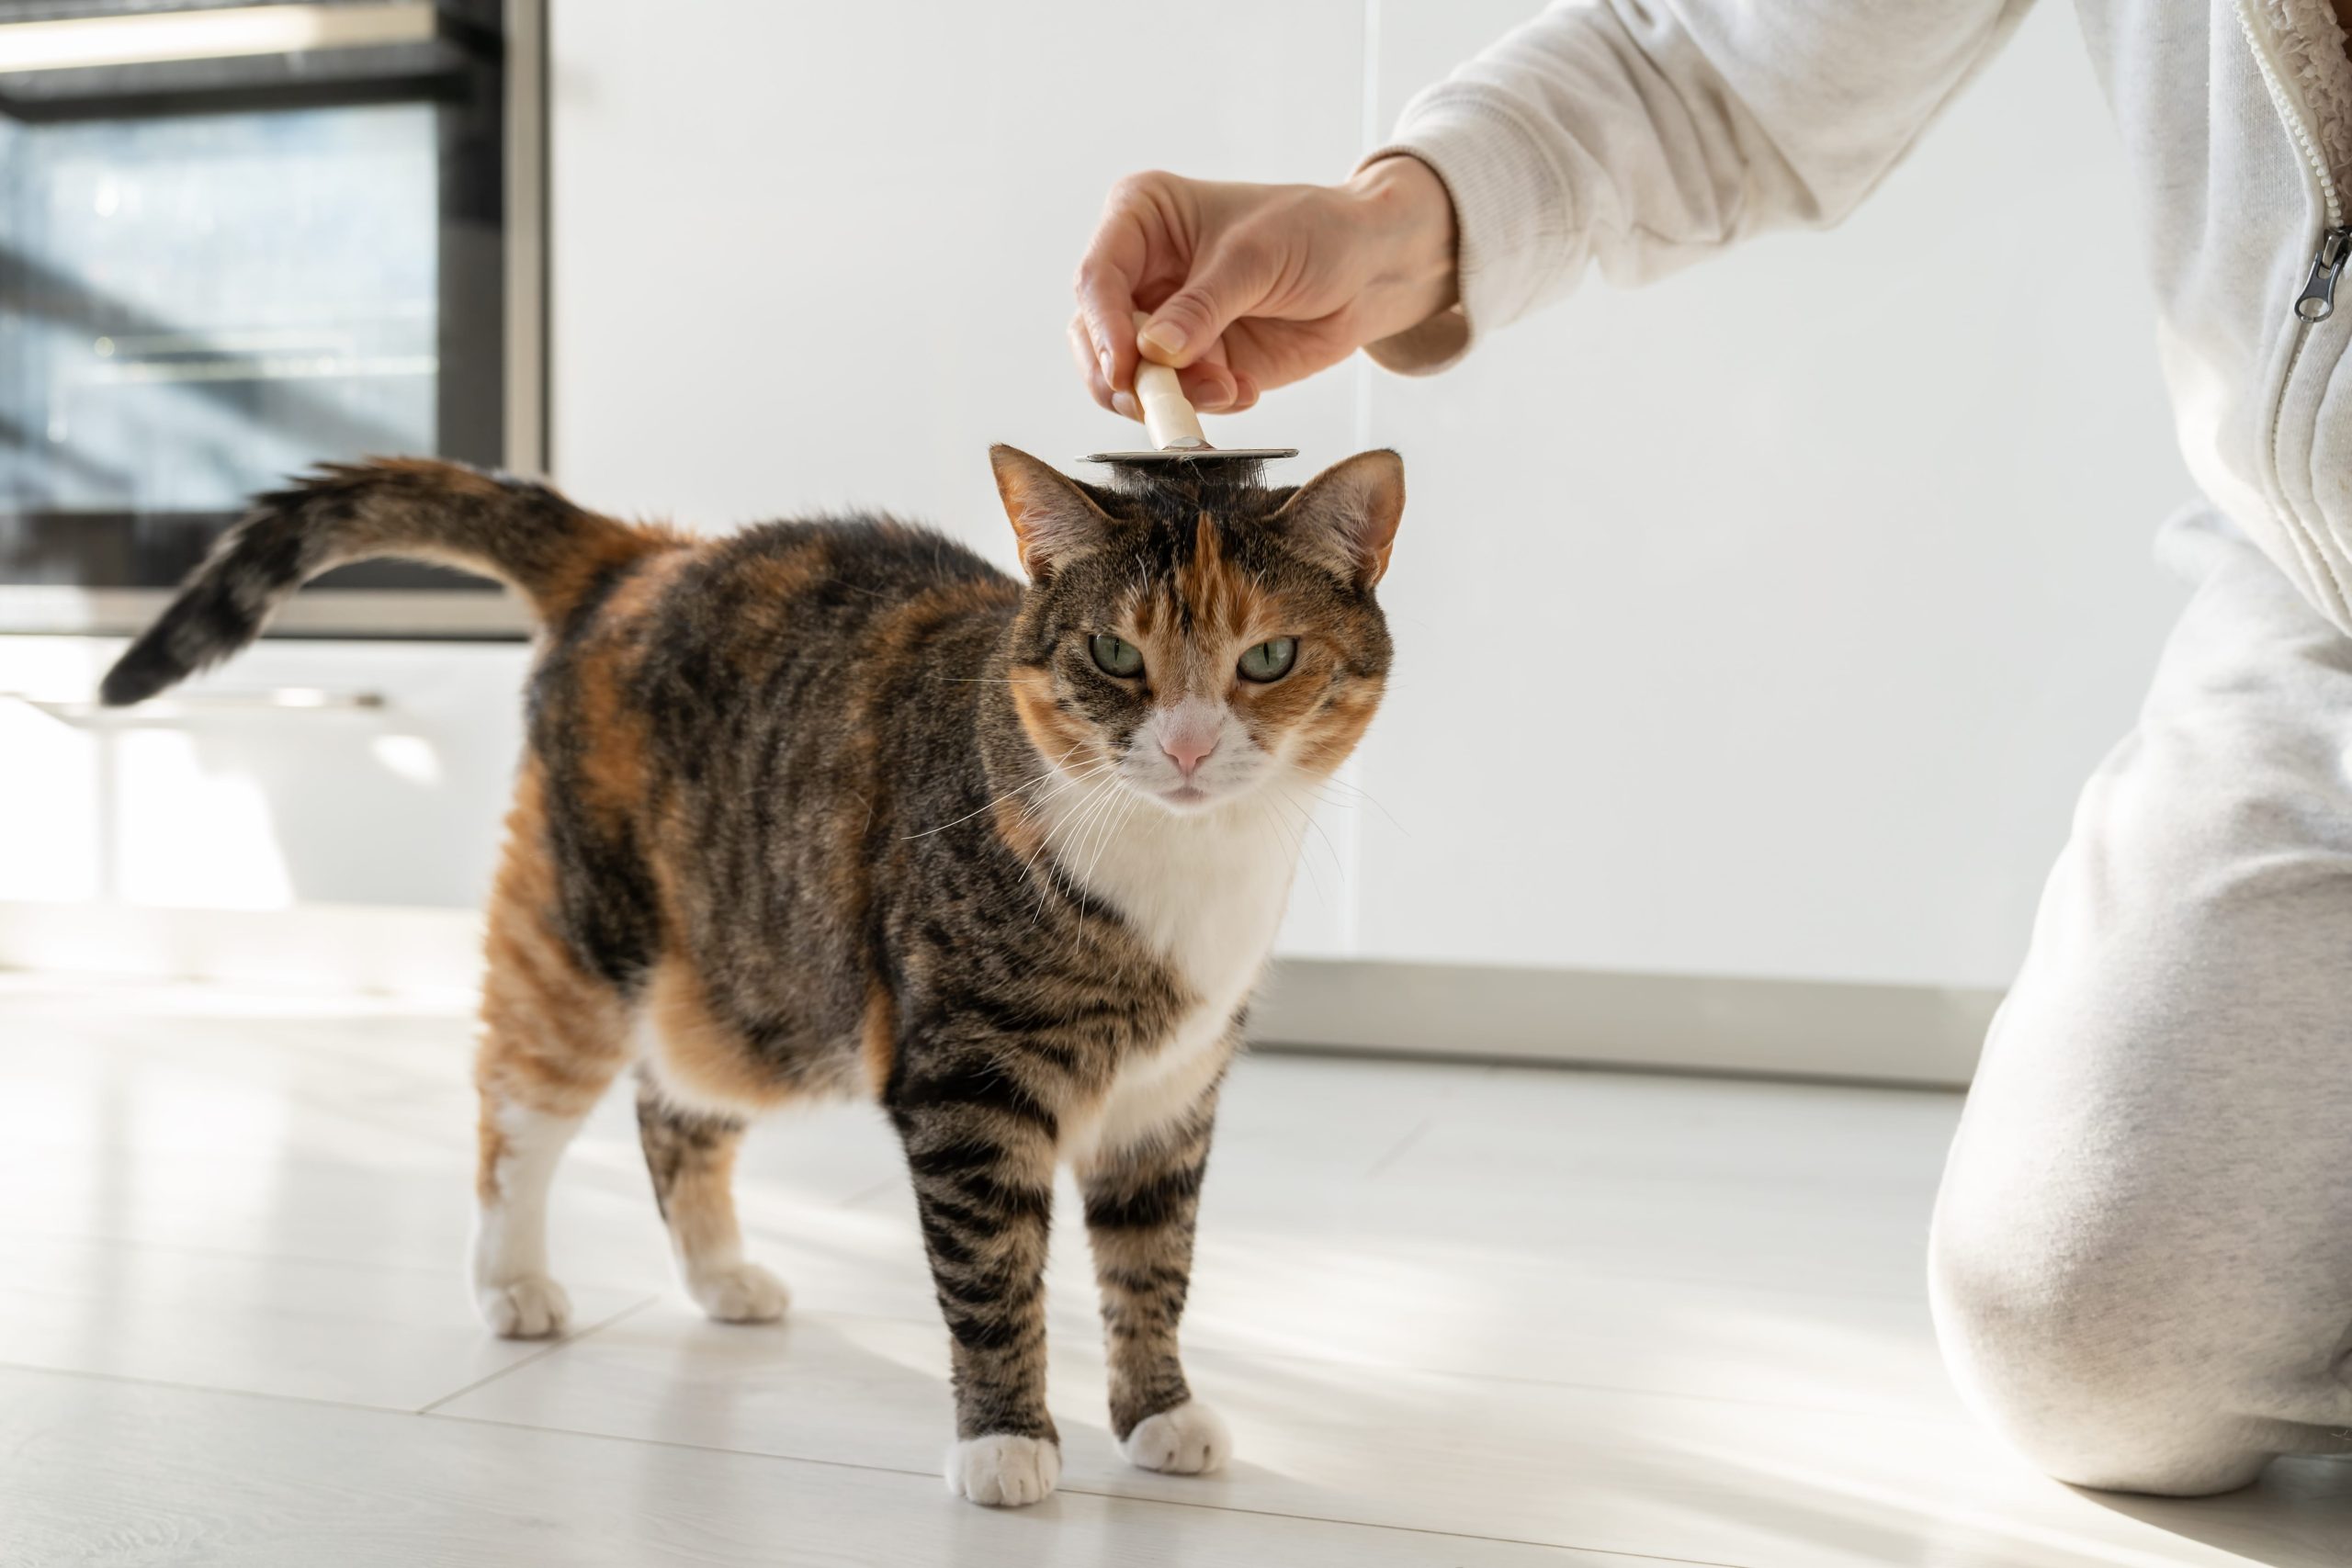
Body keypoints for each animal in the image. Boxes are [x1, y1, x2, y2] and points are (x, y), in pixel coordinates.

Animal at [96, 444, 1392, 1504]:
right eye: (1115, 654)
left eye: (1269, 657)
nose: (1186, 747)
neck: (1183, 865)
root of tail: (645, 554)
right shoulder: (967, 1085)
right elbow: (992, 1276)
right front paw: (1006, 1443)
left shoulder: (1171, 1097)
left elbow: (1151, 1265)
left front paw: (1158, 1413)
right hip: (588, 943)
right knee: (517, 1108)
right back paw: (512, 1282)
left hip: (752, 981)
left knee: (674, 1112)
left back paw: (719, 1275)